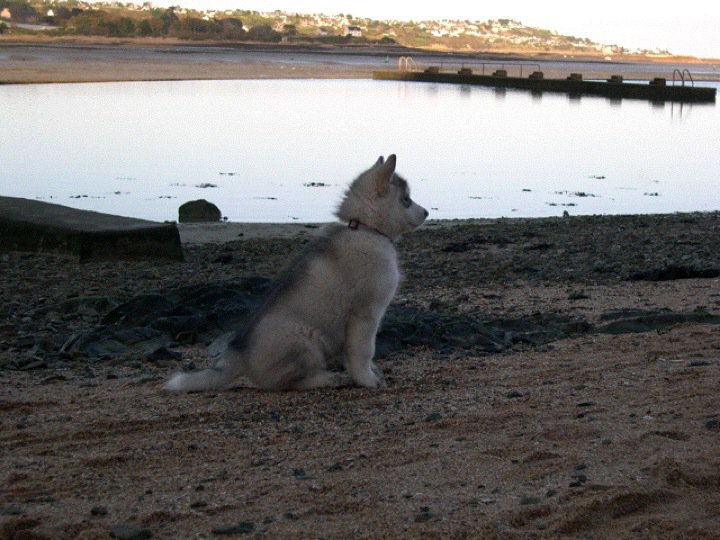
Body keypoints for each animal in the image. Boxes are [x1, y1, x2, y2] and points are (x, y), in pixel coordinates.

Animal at [163, 154, 428, 390]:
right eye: (406, 199)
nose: (427, 212)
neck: (364, 228)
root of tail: (239, 354)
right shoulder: (365, 314)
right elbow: (364, 352)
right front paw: (368, 380)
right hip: (306, 339)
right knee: (286, 383)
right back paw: (327, 379)